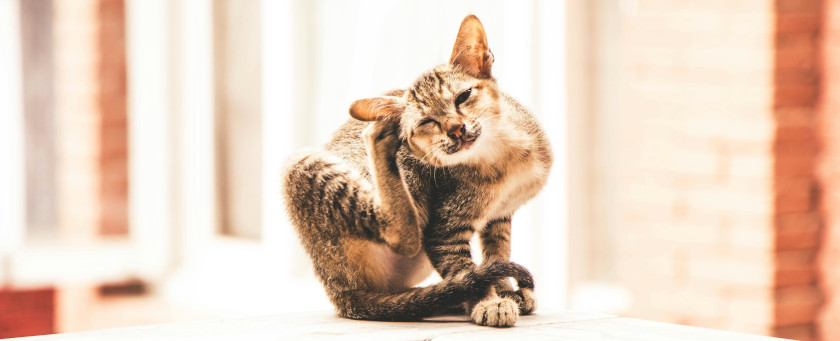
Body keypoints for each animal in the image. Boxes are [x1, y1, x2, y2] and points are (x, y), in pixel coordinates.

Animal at [284, 14, 552, 326]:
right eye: (426, 122)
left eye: (463, 96)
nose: (456, 129)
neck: (503, 157)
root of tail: (339, 292)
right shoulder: (444, 230)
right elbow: (463, 267)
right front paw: (490, 302)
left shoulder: (499, 216)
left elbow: (496, 254)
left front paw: (504, 290)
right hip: (301, 166)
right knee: (406, 237)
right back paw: (380, 136)